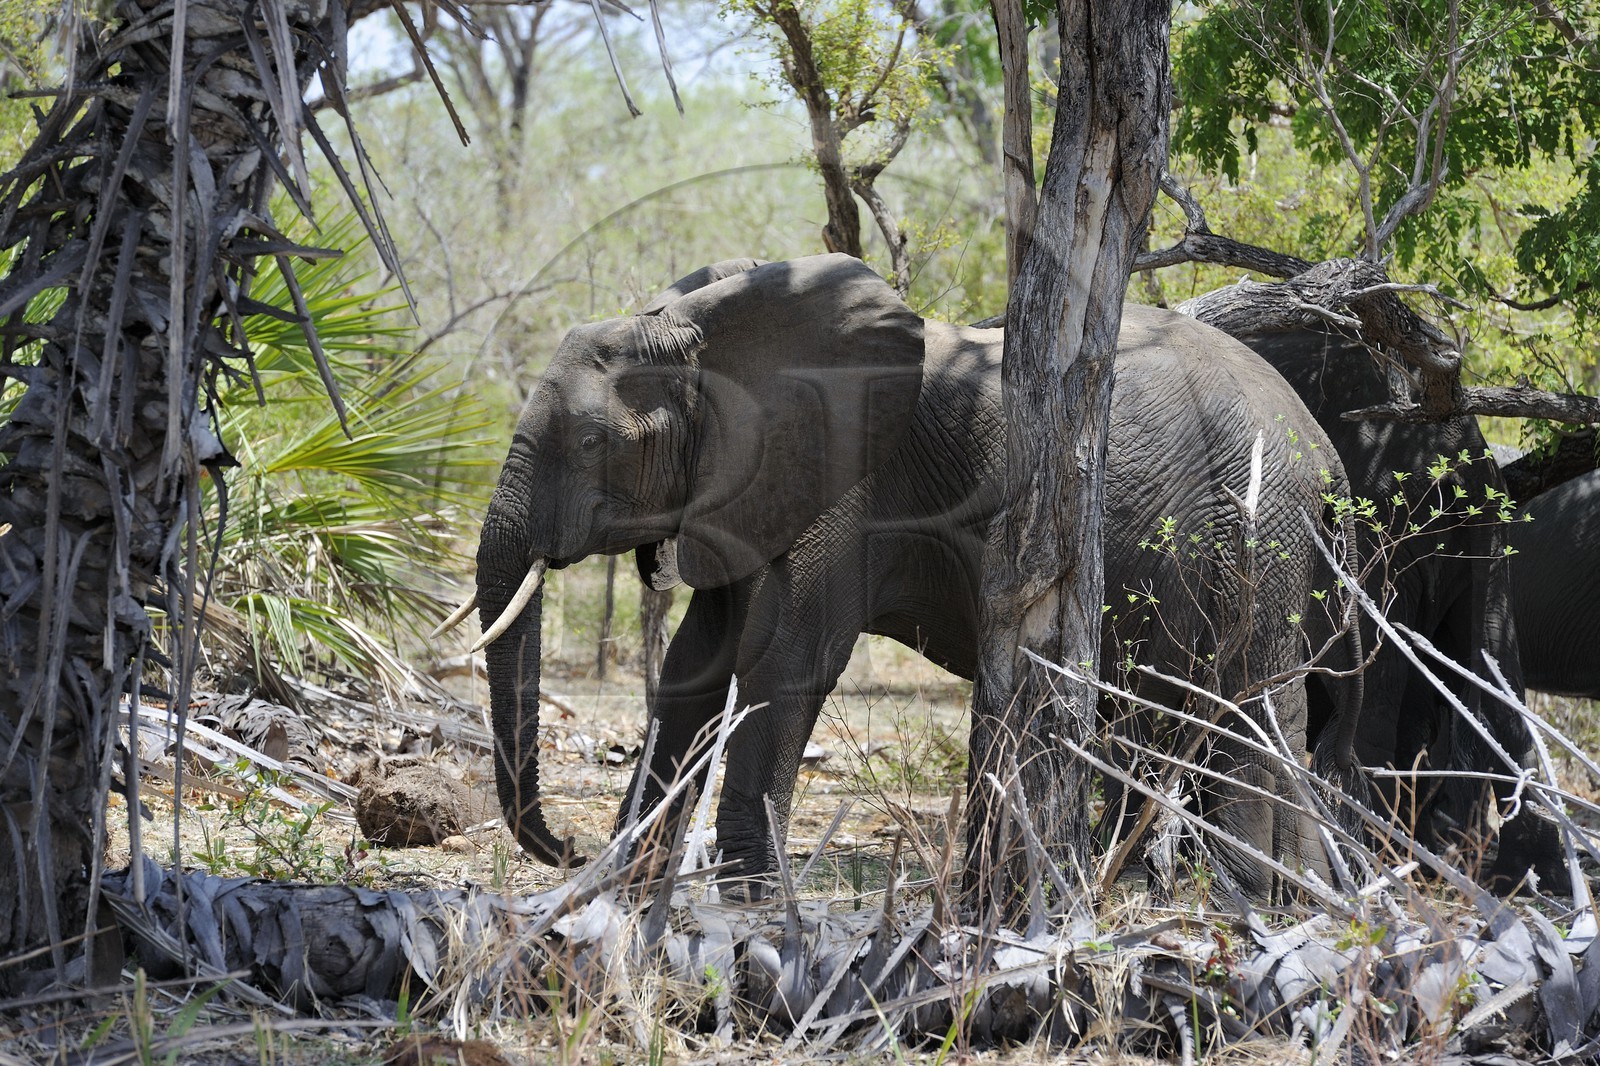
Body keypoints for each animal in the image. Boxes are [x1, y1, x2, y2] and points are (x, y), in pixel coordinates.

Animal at [471, 254, 1362, 898]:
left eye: (593, 443)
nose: (563, 845)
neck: (710, 330)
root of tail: (1326, 455)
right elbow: (697, 664)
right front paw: (622, 880)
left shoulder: (850, 479)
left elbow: (788, 660)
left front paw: (749, 894)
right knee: (1164, 709)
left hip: (1260, 530)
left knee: (1251, 703)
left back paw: (1254, 892)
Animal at [1225, 325, 1564, 889]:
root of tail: (1457, 458)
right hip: (1487, 536)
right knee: (1501, 681)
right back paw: (1532, 876)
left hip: (1378, 534)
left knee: (1378, 707)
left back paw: (1383, 858)